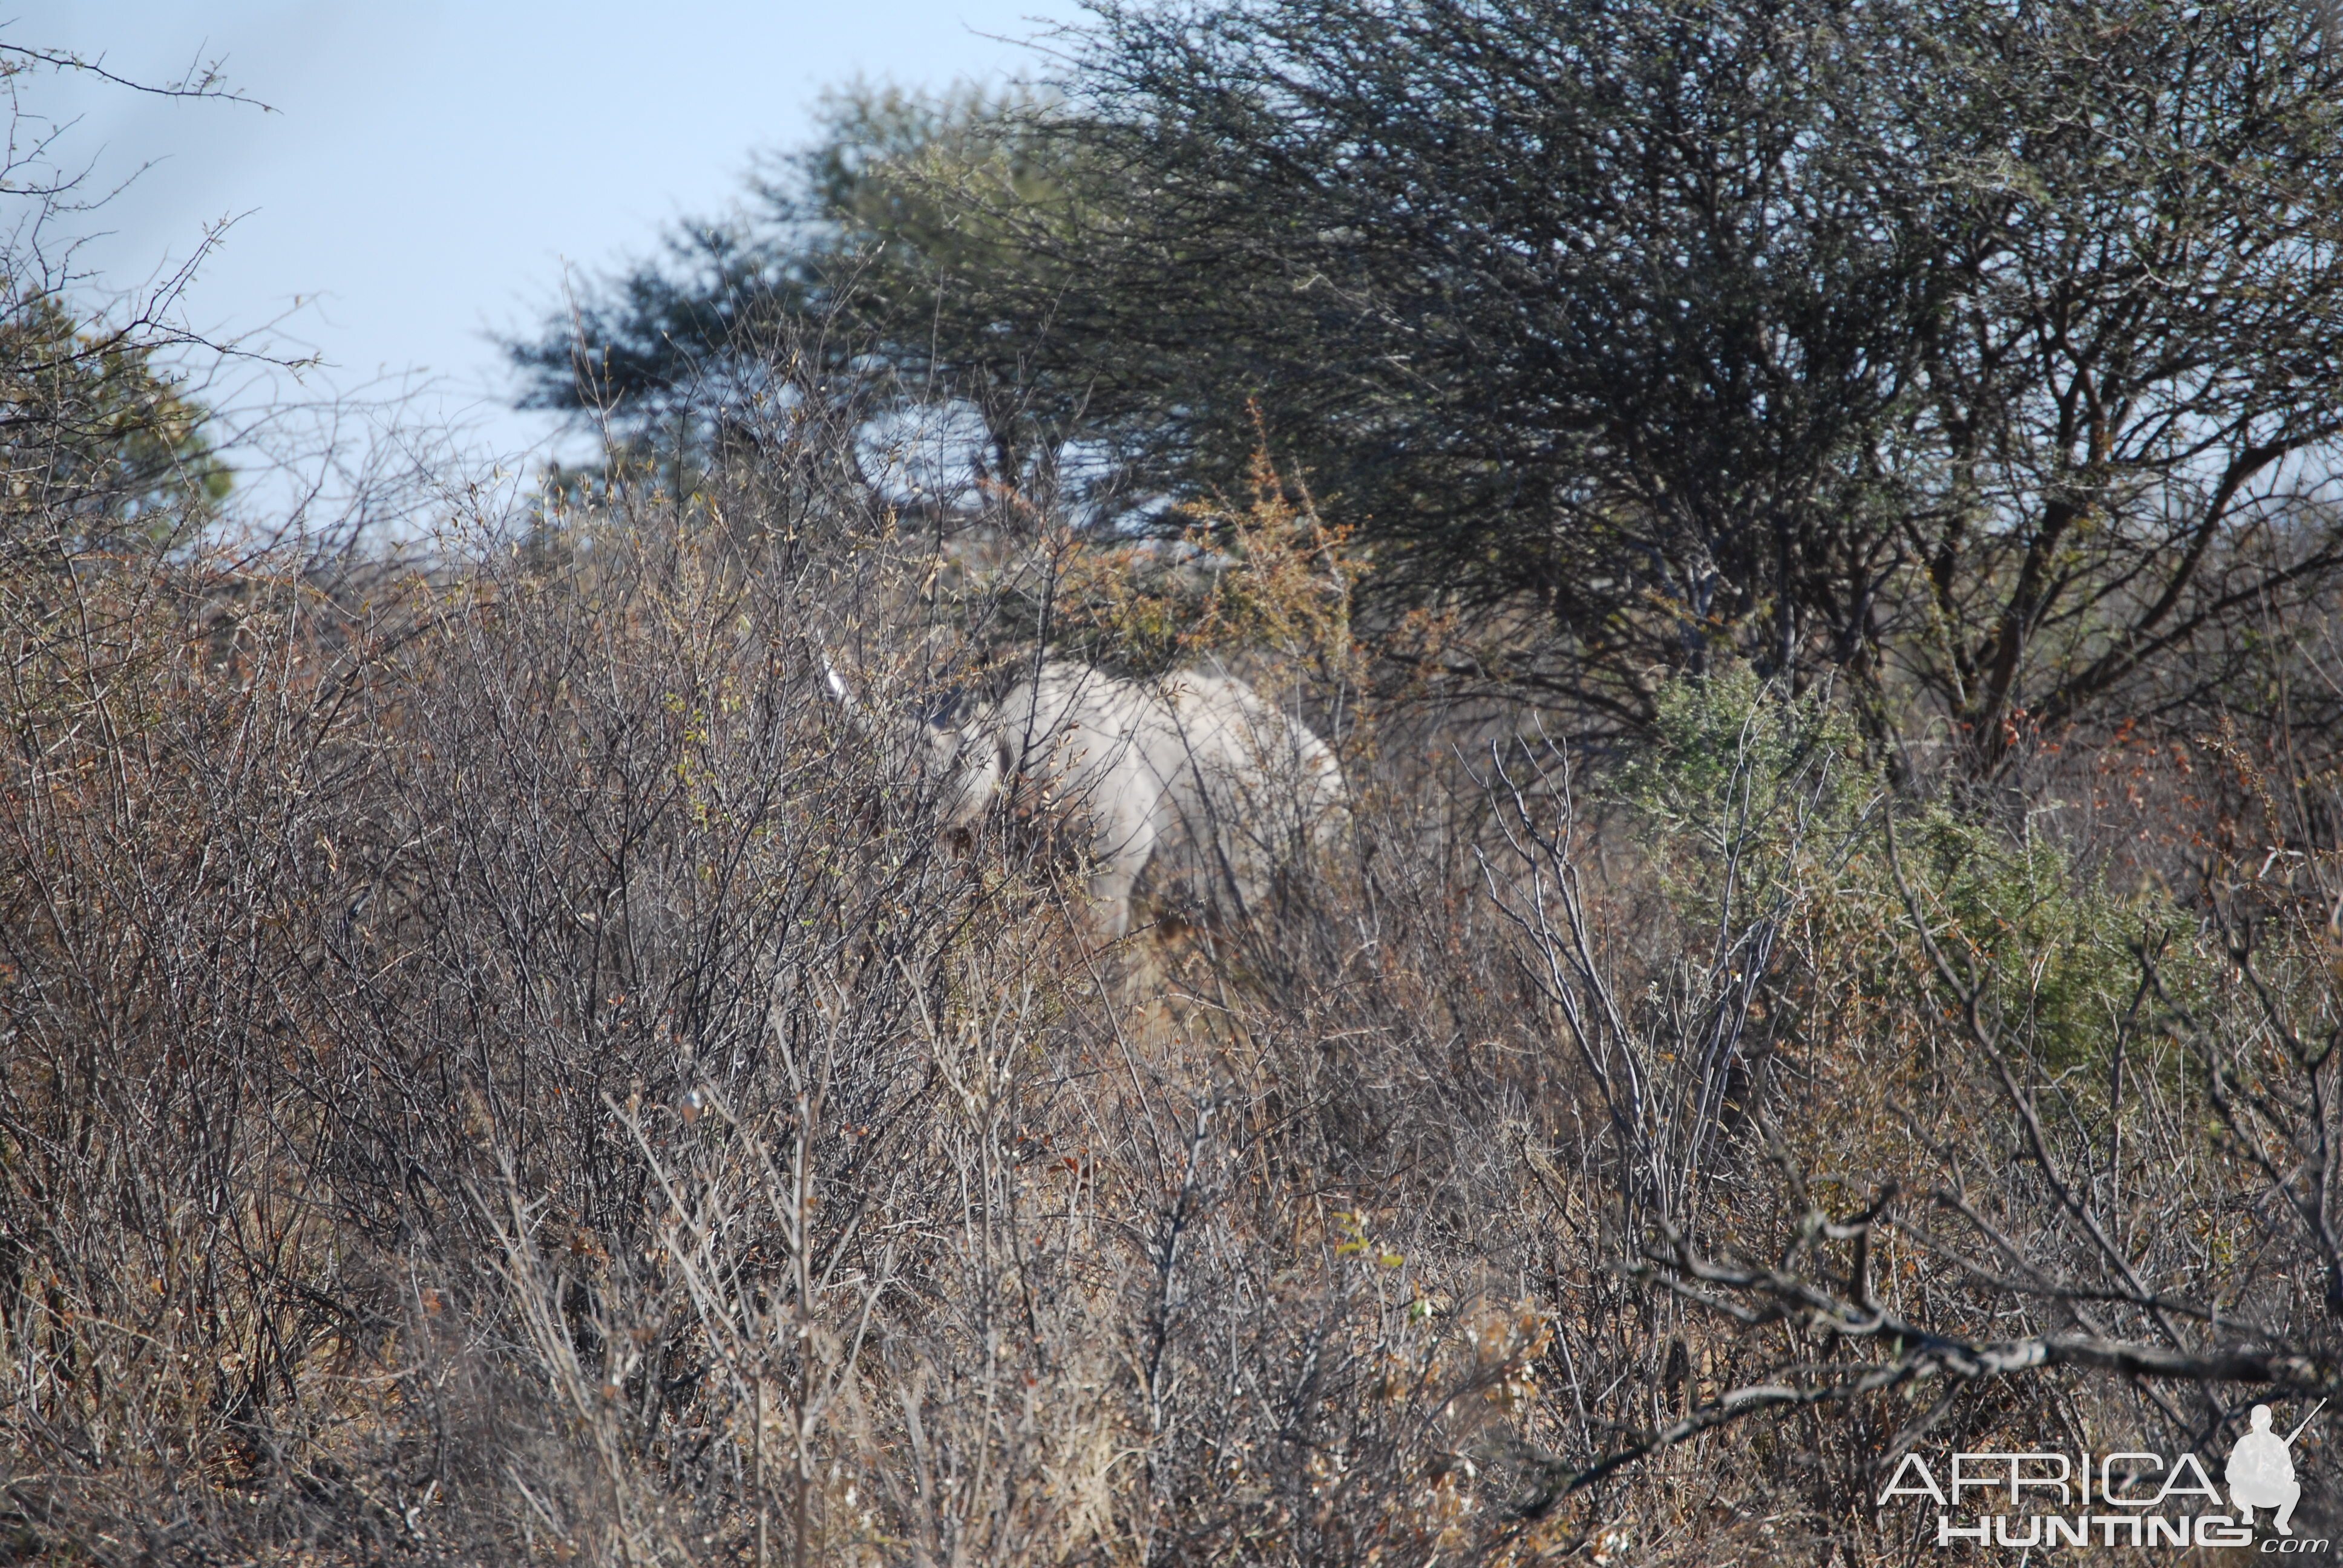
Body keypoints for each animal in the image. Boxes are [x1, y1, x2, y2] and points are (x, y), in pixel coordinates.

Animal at [829, 656, 1349, 937]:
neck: (994, 728)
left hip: (1319, 798)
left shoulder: (1107, 868)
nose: (880, 822)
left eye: (948, 771)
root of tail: (1324, 752)